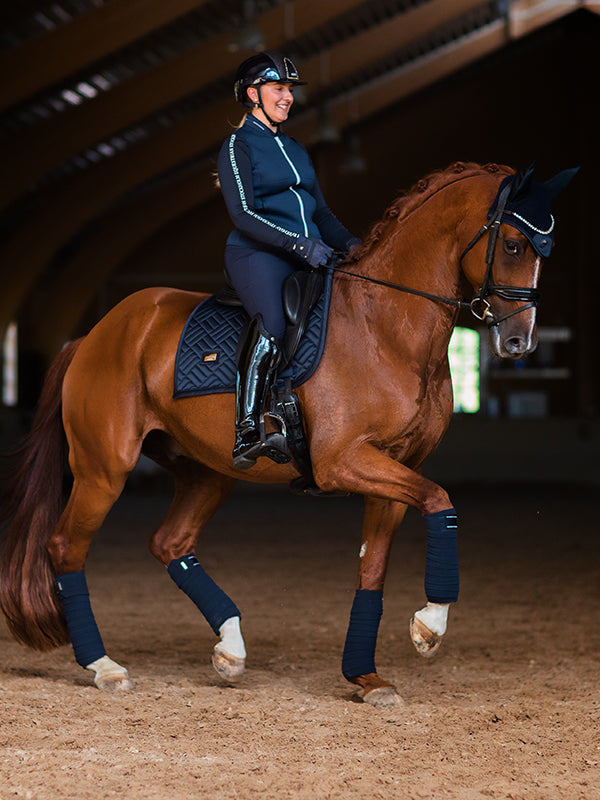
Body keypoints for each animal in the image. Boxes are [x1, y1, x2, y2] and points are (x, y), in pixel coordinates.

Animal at [0, 161, 576, 708]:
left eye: (544, 250)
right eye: (513, 244)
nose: (519, 342)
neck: (385, 327)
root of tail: (94, 334)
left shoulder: (396, 466)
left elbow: (373, 567)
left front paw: (366, 678)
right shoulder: (343, 462)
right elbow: (440, 501)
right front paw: (429, 626)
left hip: (208, 471)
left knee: (170, 543)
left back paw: (230, 649)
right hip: (105, 469)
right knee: (65, 549)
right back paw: (105, 667)